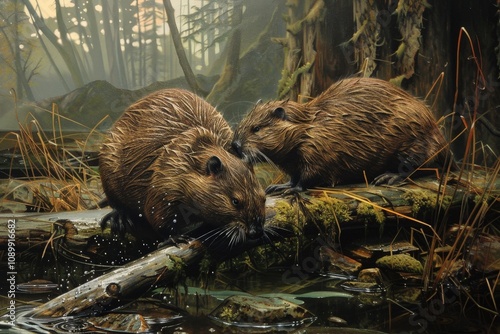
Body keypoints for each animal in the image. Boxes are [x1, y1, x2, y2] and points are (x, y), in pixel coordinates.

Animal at [99, 88, 268, 245]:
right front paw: (176, 238)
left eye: (263, 198)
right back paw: (119, 218)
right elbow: (155, 212)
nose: (256, 231)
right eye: (235, 201)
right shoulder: (166, 176)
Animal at [232, 77, 456, 193]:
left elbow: (312, 174)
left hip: (413, 135)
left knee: (416, 164)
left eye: (256, 128)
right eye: (242, 124)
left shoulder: (321, 147)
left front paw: (292, 189)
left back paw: (388, 177)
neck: (309, 127)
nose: (235, 146)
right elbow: (294, 175)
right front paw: (279, 186)